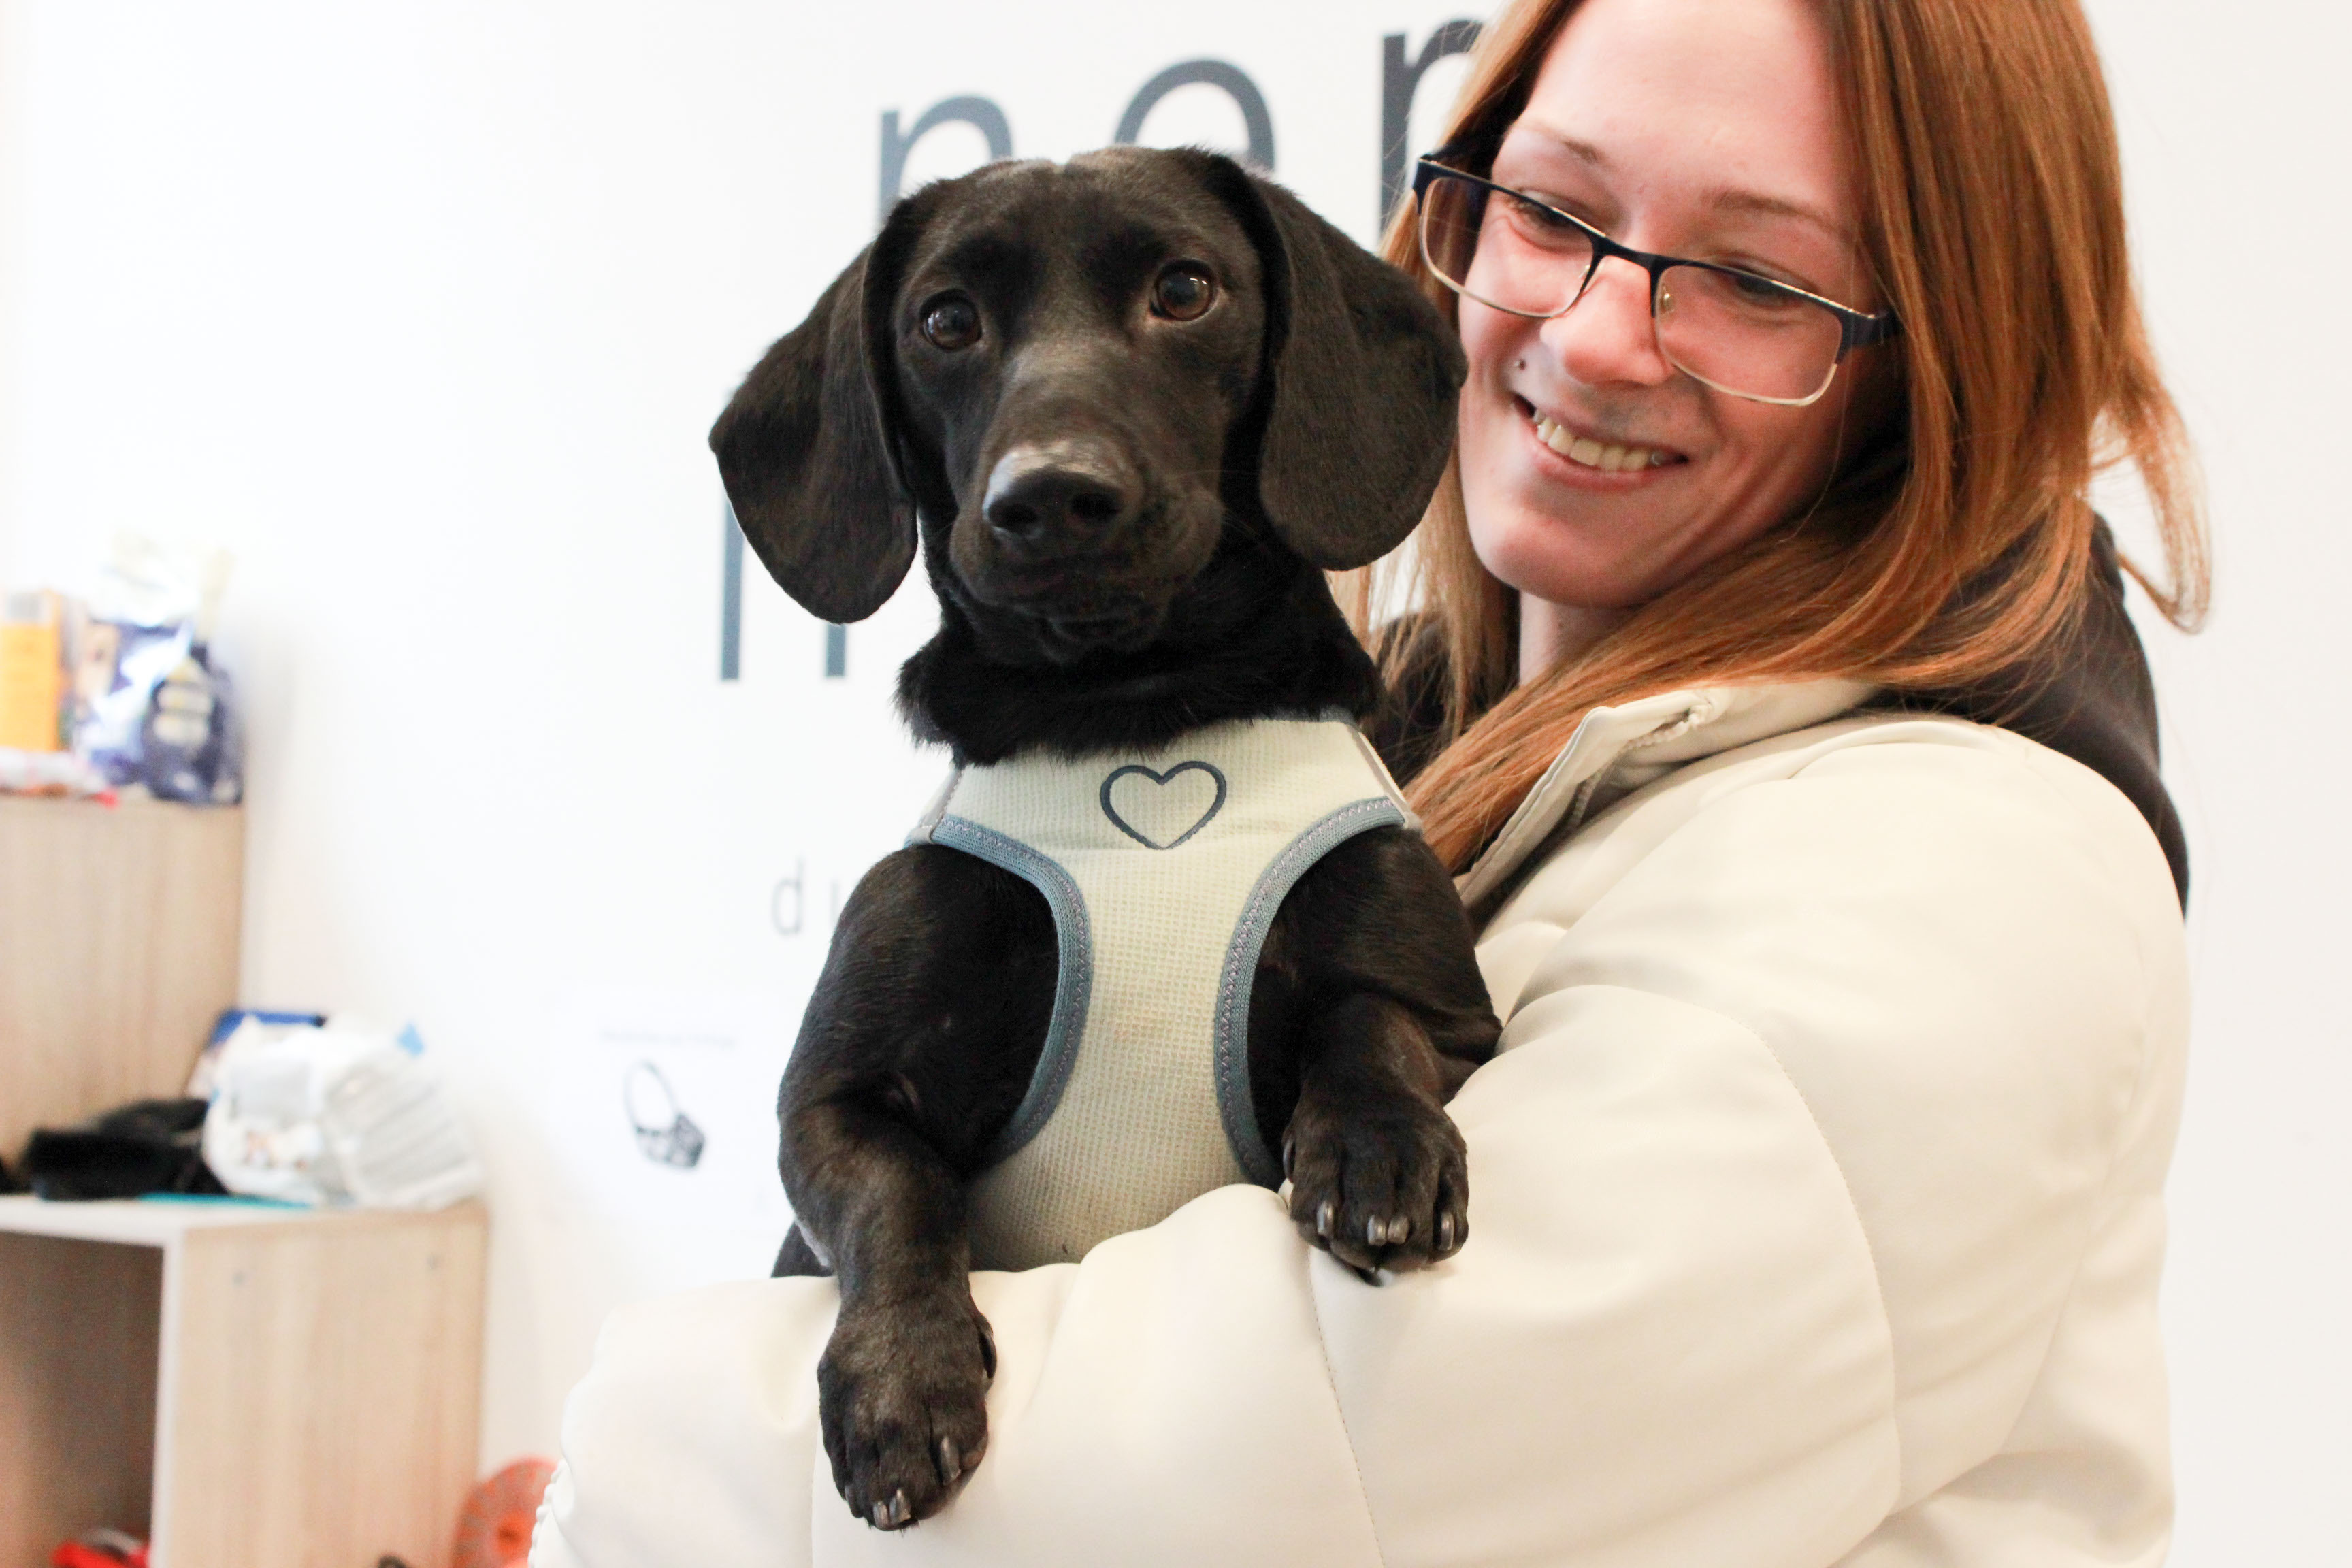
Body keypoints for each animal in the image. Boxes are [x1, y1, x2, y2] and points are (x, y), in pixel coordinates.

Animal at [711, 146, 1501, 1531]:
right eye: (945, 321)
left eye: (1185, 290)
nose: (1050, 496)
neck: (1131, 712)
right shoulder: (828, 1103)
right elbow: (899, 1193)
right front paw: (901, 1376)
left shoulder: (1450, 1010)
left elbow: (1370, 1020)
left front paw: (1374, 1147)